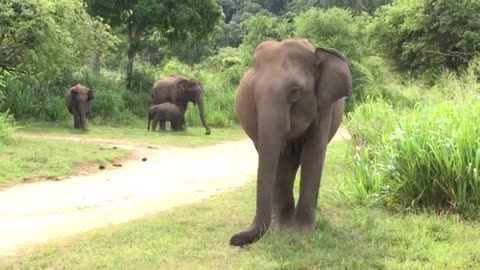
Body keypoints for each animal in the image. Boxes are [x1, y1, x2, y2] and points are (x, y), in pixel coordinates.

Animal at [229, 38, 352, 247]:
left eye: (295, 92)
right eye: (253, 93)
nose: (233, 239)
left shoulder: (324, 105)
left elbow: (314, 155)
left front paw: (302, 233)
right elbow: (282, 159)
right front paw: (284, 229)